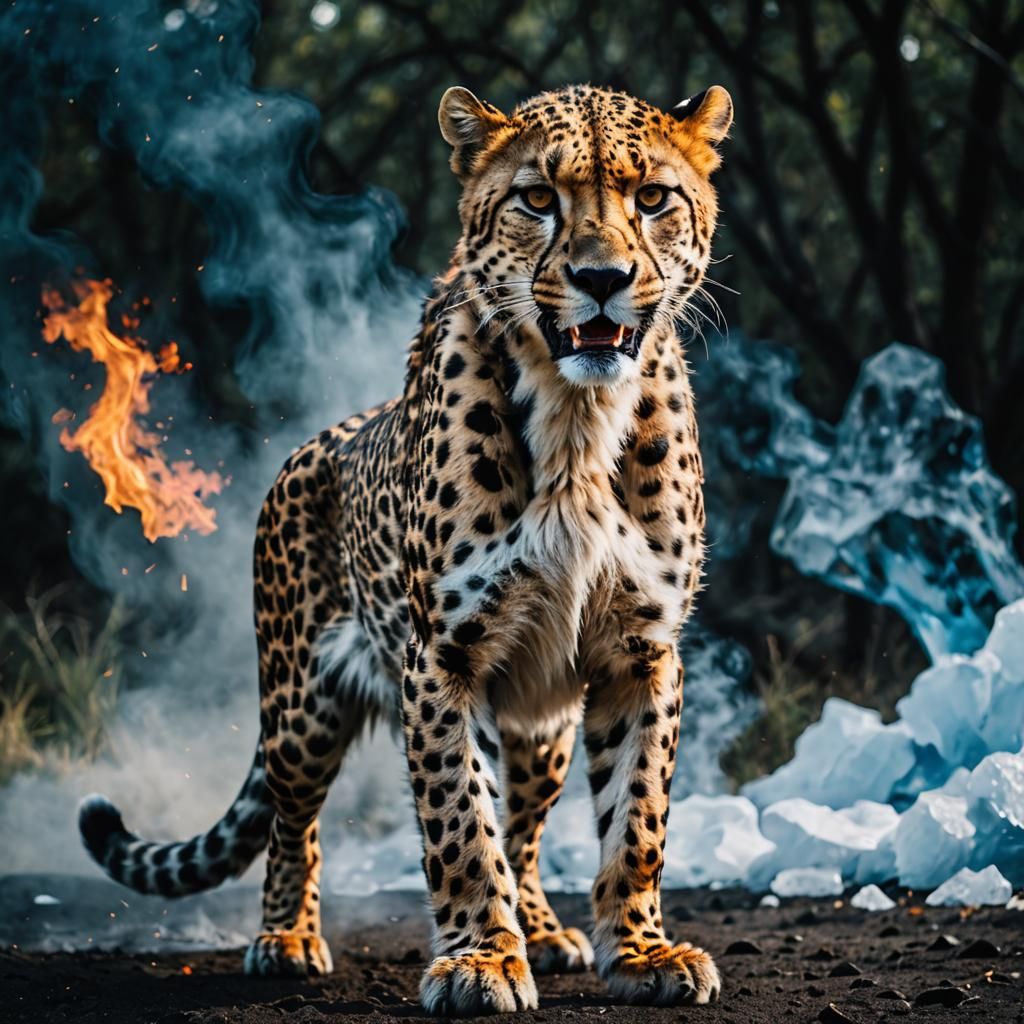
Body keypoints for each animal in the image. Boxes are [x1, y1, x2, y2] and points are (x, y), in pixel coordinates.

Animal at [79, 81, 734, 1015]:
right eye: (539, 198)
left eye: (652, 199)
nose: (602, 280)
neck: (578, 421)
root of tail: (313, 446)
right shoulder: (445, 657)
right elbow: (460, 821)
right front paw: (480, 961)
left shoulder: (640, 652)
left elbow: (635, 818)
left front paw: (640, 952)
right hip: (301, 705)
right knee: (294, 823)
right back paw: (286, 937)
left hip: (544, 726)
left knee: (526, 826)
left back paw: (544, 929)